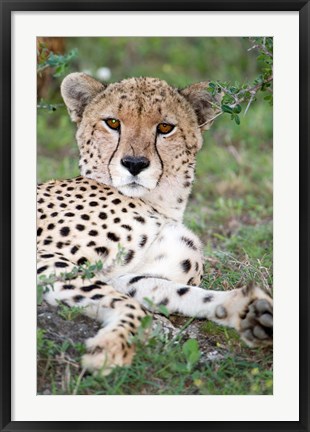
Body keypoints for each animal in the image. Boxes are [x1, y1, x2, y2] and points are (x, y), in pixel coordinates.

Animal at [37, 73, 272, 374]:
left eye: (165, 127)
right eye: (113, 123)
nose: (134, 163)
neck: (160, 203)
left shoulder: (125, 276)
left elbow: (180, 293)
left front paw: (248, 310)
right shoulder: (45, 256)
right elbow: (131, 306)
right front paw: (111, 348)